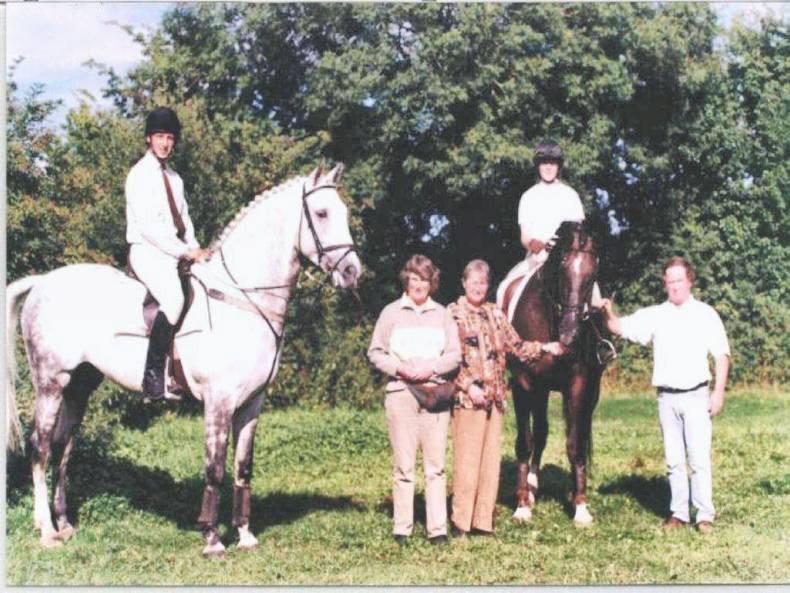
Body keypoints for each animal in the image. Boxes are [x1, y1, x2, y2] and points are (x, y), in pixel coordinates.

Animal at [6, 163, 362, 557]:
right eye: (322, 213)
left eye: (344, 212)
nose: (352, 273)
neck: (241, 299)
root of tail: (42, 283)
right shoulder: (218, 402)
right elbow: (215, 469)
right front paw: (212, 539)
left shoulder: (252, 404)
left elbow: (243, 467)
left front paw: (245, 535)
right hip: (50, 383)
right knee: (40, 448)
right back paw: (46, 530)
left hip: (79, 386)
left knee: (63, 446)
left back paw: (65, 524)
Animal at [500, 220, 608, 526]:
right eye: (561, 267)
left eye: (593, 274)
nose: (570, 333)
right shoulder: (524, 385)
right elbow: (525, 442)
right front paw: (522, 506)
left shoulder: (580, 385)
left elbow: (575, 444)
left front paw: (580, 507)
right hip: (539, 391)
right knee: (539, 435)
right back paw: (531, 489)